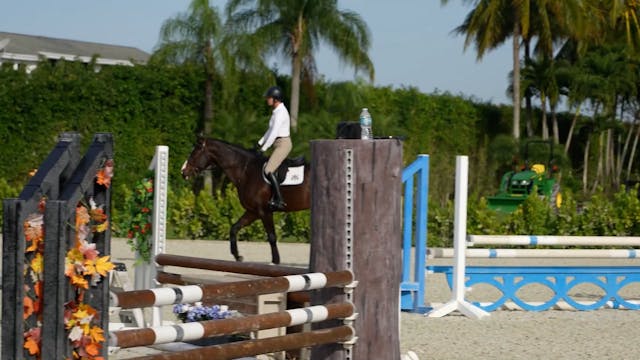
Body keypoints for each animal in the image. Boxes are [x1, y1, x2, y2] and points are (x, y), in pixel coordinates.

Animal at [180, 136, 310, 262]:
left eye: (194, 153)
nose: (183, 171)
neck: (246, 171)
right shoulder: (253, 212)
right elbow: (234, 228)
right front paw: (237, 256)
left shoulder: (265, 212)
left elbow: (272, 237)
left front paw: (275, 261)